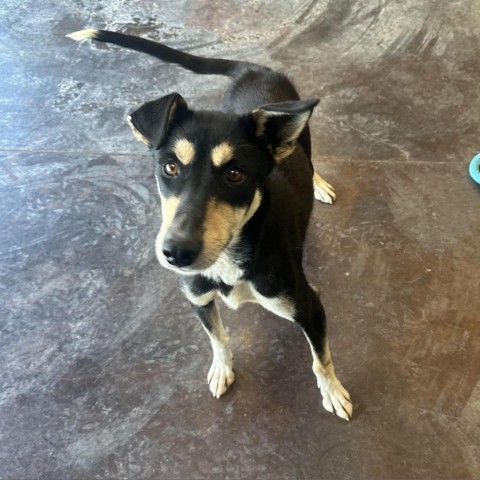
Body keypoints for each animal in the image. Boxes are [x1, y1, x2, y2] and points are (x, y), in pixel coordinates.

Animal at [66, 30, 352, 420]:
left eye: (235, 174)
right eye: (170, 167)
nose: (176, 253)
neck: (229, 259)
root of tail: (252, 69)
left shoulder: (308, 305)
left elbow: (321, 359)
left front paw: (333, 392)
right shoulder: (197, 297)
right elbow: (217, 337)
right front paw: (221, 368)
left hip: (300, 135)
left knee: (309, 158)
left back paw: (318, 184)